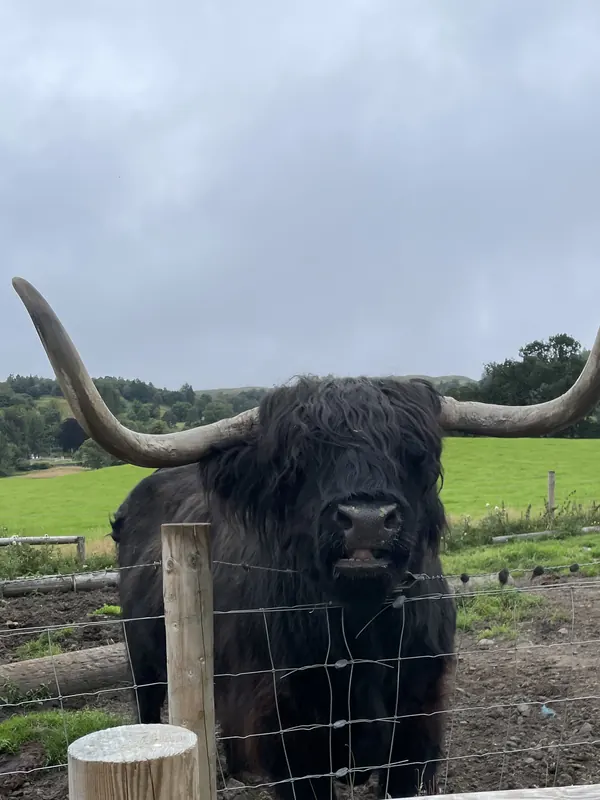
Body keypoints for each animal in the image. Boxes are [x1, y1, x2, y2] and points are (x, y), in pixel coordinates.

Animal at [11, 277, 600, 799]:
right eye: (297, 463)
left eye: (418, 454)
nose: (367, 518)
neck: (358, 635)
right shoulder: (291, 743)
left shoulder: (415, 731)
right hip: (143, 655)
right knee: (152, 706)